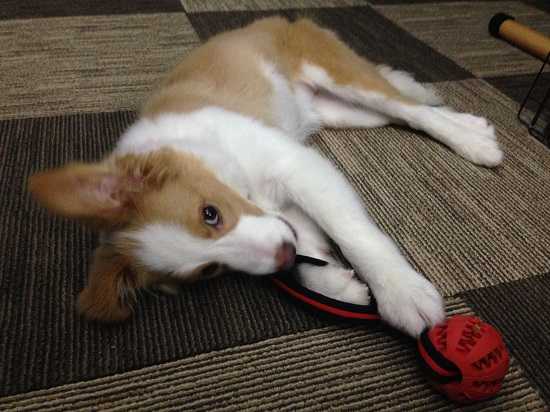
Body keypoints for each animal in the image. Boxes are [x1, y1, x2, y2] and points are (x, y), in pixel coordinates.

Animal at [28, 17, 502, 337]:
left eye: (210, 213)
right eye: (210, 271)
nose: (282, 254)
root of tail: (279, 20)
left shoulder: (298, 166)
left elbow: (354, 234)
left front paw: (401, 292)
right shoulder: (288, 212)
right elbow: (308, 253)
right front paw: (337, 286)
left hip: (344, 79)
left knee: (412, 109)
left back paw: (474, 141)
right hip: (340, 112)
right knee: (402, 115)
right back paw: (469, 129)